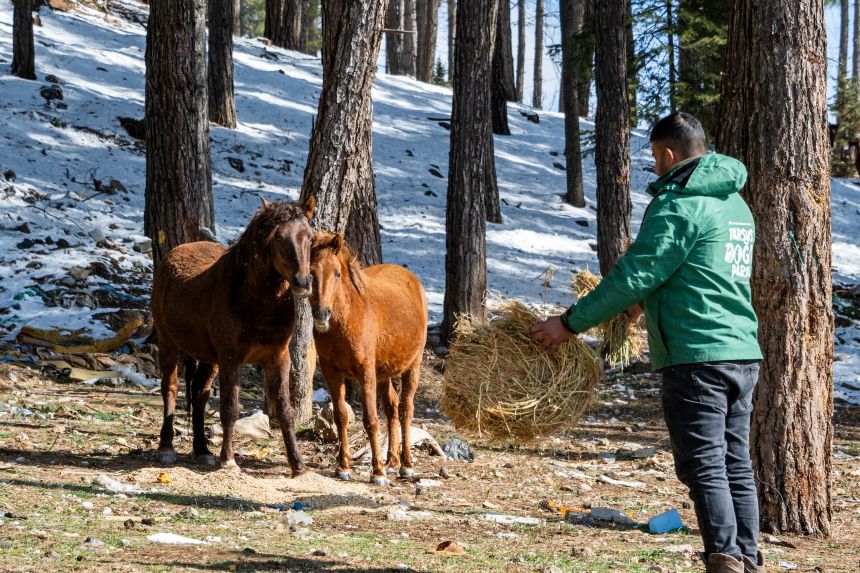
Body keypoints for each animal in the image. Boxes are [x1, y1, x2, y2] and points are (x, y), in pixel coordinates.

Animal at [151, 197, 316, 474]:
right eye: (278, 237)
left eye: (310, 237)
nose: (303, 283)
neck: (255, 302)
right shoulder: (230, 358)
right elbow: (230, 407)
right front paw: (228, 459)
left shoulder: (278, 358)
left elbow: (285, 409)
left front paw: (298, 464)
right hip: (168, 344)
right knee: (170, 388)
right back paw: (166, 448)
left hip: (209, 359)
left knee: (200, 393)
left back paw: (202, 450)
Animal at [310, 230, 428, 484]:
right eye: (310, 272)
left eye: (337, 273)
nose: (322, 314)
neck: (347, 320)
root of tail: (411, 278)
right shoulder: (331, 372)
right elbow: (341, 416)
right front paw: (343, 467)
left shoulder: (366, 373)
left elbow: (371, 420)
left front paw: (377, 472)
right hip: (384, 372)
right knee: (392, 407)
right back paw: (392, 461)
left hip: (413, 365)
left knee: (405, 409)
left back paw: (405, 465)